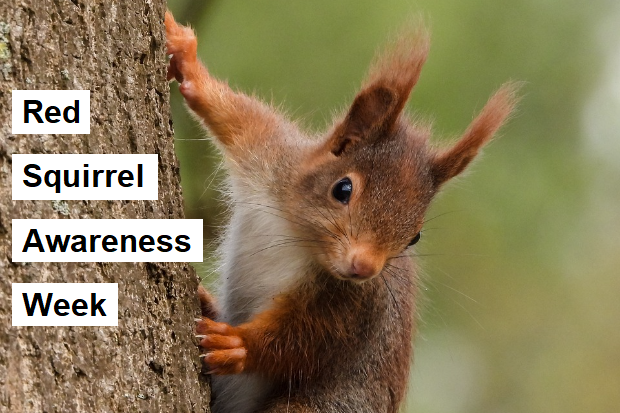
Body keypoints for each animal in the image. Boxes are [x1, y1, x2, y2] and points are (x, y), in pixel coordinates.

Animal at [165, 12, 520, 412]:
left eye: (414, 236)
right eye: (343, 189)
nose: (364, 267)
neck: (298, 233)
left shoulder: (356, 306)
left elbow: (304, 343)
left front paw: (239, 345)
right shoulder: (271, 155)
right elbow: (235, 115)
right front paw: (187, 59)